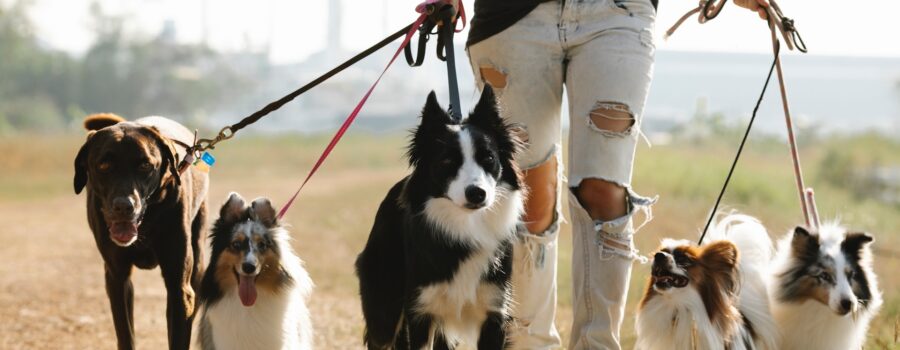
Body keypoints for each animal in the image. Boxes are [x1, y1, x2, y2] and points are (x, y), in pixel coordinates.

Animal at [74, 113, 207, 348]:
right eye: (104, 165)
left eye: (145, 165)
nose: (124, 206)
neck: (147, 221)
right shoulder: (117, 278)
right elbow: (125, 333)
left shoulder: (180, 286)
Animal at [352, 85, 520, 350]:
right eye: (447, 161)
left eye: (489, 159)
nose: (477, 193)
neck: (463, 226)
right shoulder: (421, 311)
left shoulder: (494, 310)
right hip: (384, 304)